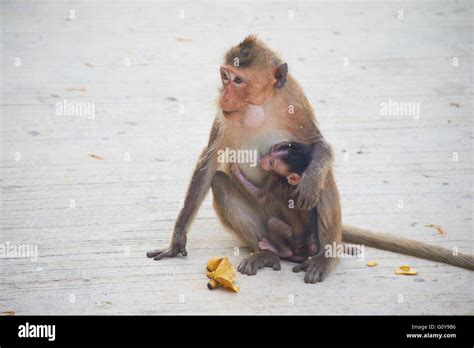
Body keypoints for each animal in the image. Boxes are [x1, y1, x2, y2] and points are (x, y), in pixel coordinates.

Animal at [146, 35, 472, 282]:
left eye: (237, 80)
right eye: (224, 76)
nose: (224, 95)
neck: (259, 106)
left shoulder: (295, 102)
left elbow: (318, 147)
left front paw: (311, 178)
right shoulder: (223, 118)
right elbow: (210, 163)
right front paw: (176, 240)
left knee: (324, 183)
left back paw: (325, 257)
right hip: (269, 225)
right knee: (221, 184)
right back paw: (267, 253)